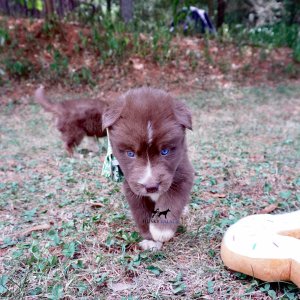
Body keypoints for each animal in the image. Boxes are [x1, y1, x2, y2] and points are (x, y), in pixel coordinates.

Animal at [102, 87, 195, 251]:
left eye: (165, 151)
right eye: (130, 154)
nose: (151, 186)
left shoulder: (183, 174)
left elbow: (172, 199)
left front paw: (161, 230)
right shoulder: (131, 185)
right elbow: (141, 211)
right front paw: (150, 238)